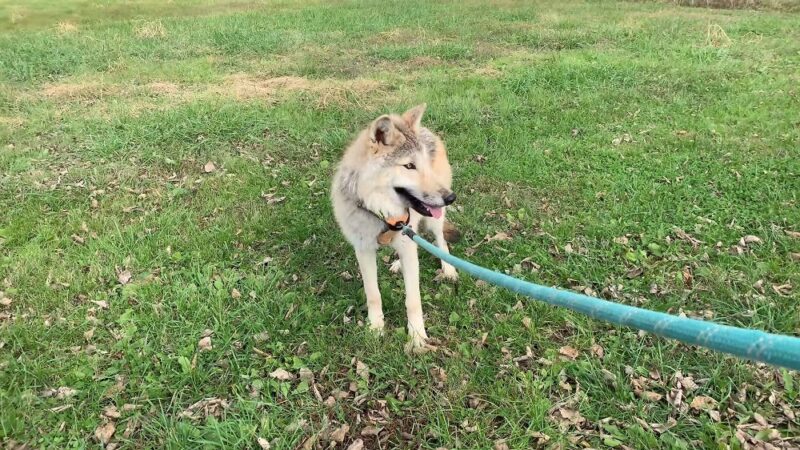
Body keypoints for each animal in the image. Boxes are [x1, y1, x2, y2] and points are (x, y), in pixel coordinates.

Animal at [330, 104, 456, 352]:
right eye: (409, 166)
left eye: (423, 164)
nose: (450, 198)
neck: (382, 214)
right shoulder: (363, 250)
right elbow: (373, 294)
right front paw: (375, 328)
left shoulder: (408, 240)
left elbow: (413, 300)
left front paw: (417, 337)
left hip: (434, 220)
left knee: (440, 240)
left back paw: (448, 269)